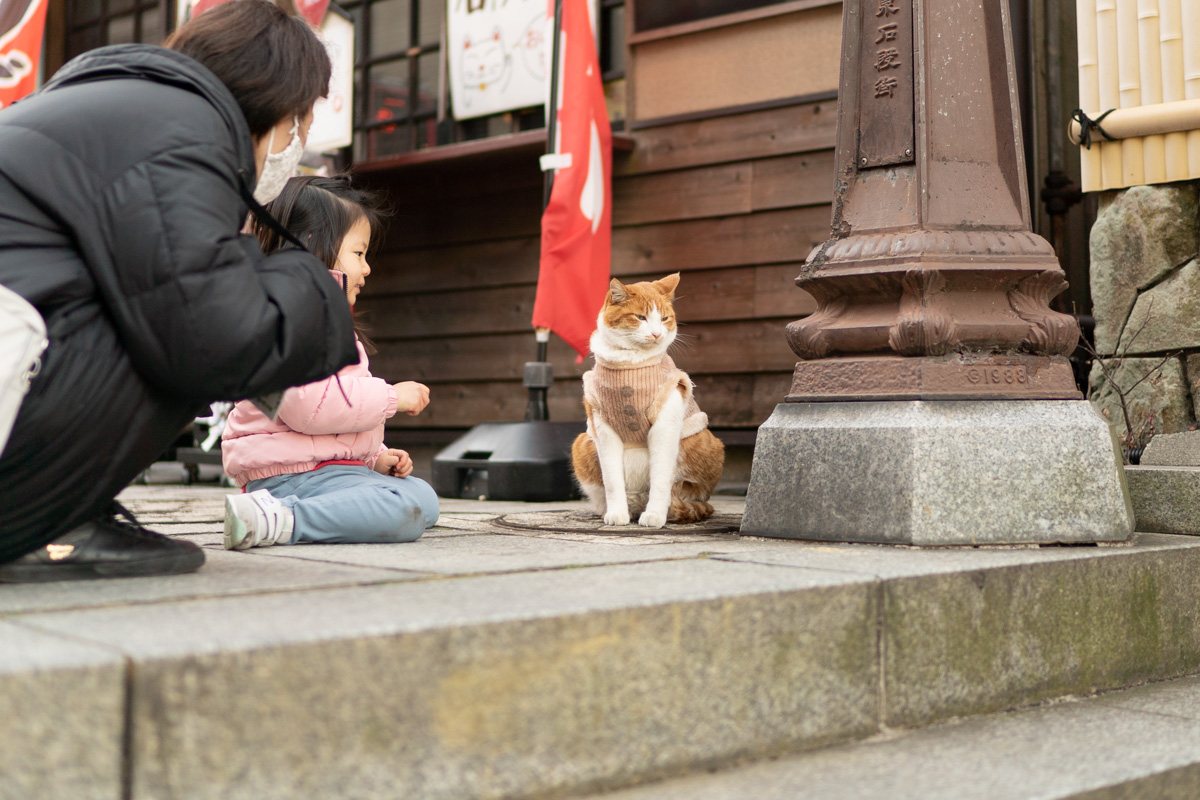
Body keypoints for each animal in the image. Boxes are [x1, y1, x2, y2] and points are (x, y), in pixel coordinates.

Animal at [568, 272, 720, 527]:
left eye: (665, 318)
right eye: (640, 317)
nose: (657, 333)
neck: (630, 362)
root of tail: (638, 499)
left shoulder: (665, 424)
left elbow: (661, 478)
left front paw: (655, 515)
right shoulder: (602, 428)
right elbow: (612, 480)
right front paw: (617, 514)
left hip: (705, 442)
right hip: (582, 444)